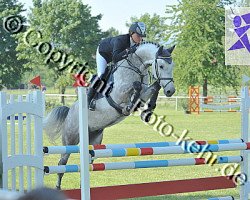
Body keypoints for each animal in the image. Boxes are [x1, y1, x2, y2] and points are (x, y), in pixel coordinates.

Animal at [43, 41, 176, 189]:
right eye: (161, 66)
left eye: (172, 66)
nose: (170, 91)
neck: (136, 67)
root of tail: (68, 113)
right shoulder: (119, 94)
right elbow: (136, 87)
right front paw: (131, 107)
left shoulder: (145, 92)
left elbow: (154, 86)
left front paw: (149, 109)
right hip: (70, 139)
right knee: (62, 163)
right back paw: (58, 187)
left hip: (94, 140)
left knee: (88, 162)